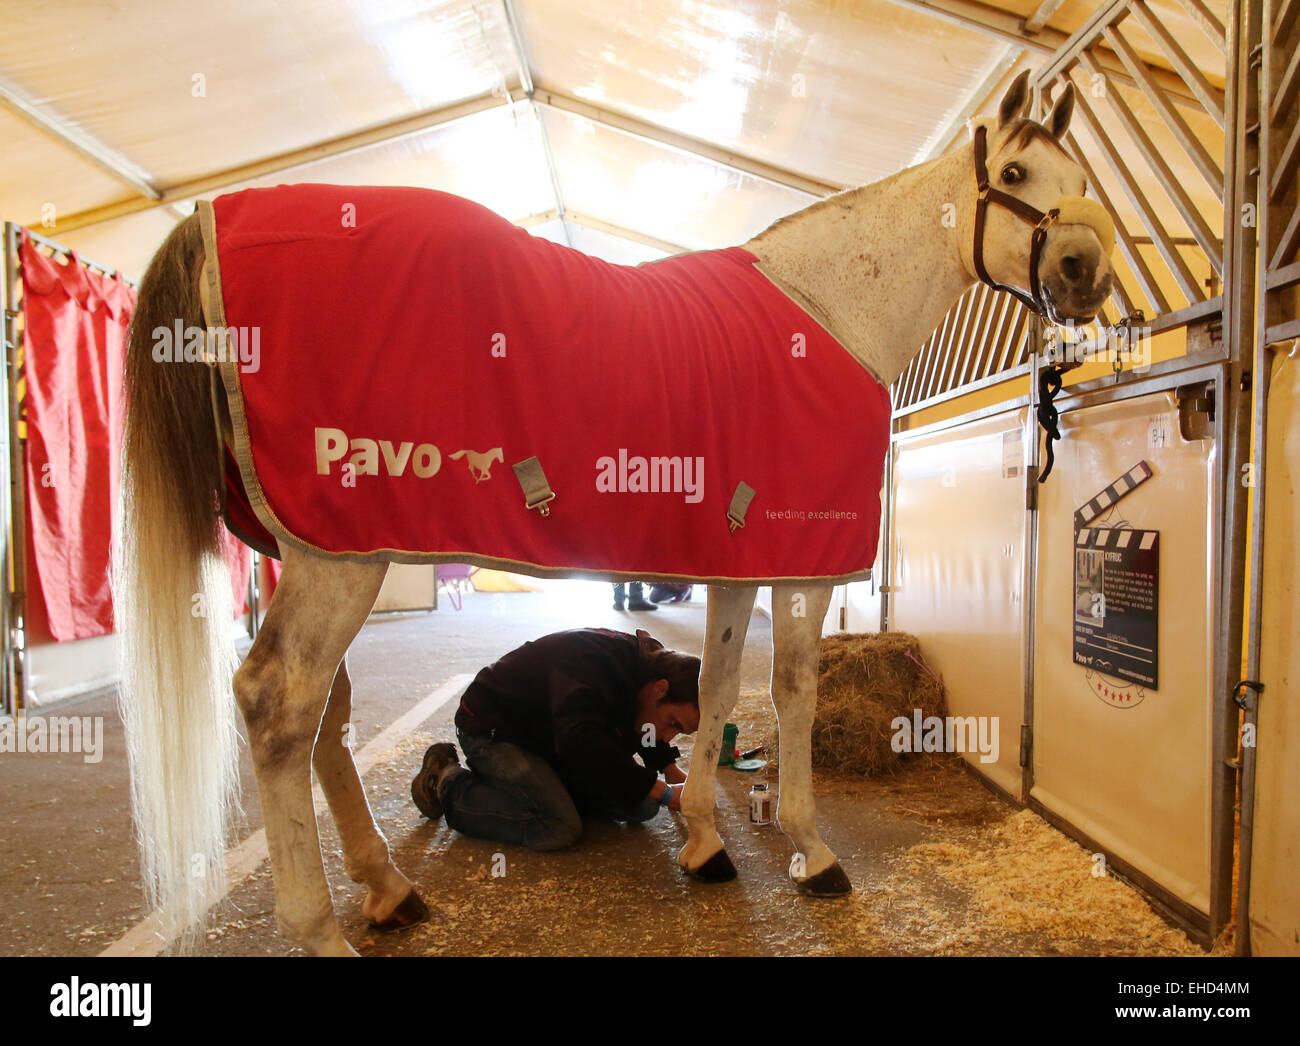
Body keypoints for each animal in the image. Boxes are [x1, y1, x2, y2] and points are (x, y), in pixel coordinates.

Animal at [114, 70, 1114, 955]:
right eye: (1016, 174)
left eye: (1082, 178)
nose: (1085, 272)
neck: (833, 310)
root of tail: (213, 219)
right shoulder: (802, 564)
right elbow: (792, 691)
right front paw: (812, 852)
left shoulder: (734, 563)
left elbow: (719, 690)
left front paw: (706, 842)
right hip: (339, 556)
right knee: (278, 702)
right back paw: (322, 929)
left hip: (323, 544)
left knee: (326, 713)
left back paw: (388, 889)